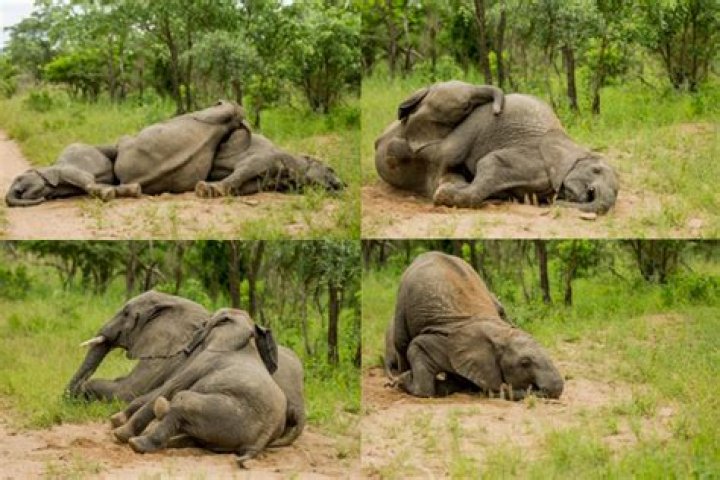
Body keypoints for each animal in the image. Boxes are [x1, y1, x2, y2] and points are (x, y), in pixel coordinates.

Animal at [110, 308, 289, 466]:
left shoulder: (208, 358)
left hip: (226, 414)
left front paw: (120, 433)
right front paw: (117, 421)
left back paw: (137, 443)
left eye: (206, 324)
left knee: (182, 400)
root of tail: (260, 441)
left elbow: (172, 386)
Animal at [195, 127, 344, 198]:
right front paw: (205, 188)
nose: (344, 184)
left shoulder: (262, 182)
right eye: (331, 169)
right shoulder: (255, 162)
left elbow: (241, 187)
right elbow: (237, 176)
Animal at [388, 251, 564, 400]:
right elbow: (418, 345)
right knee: (401, 342)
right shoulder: (447, 343)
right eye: (525, 363)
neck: (499, 333)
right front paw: (403, 380)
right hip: (402, 300)